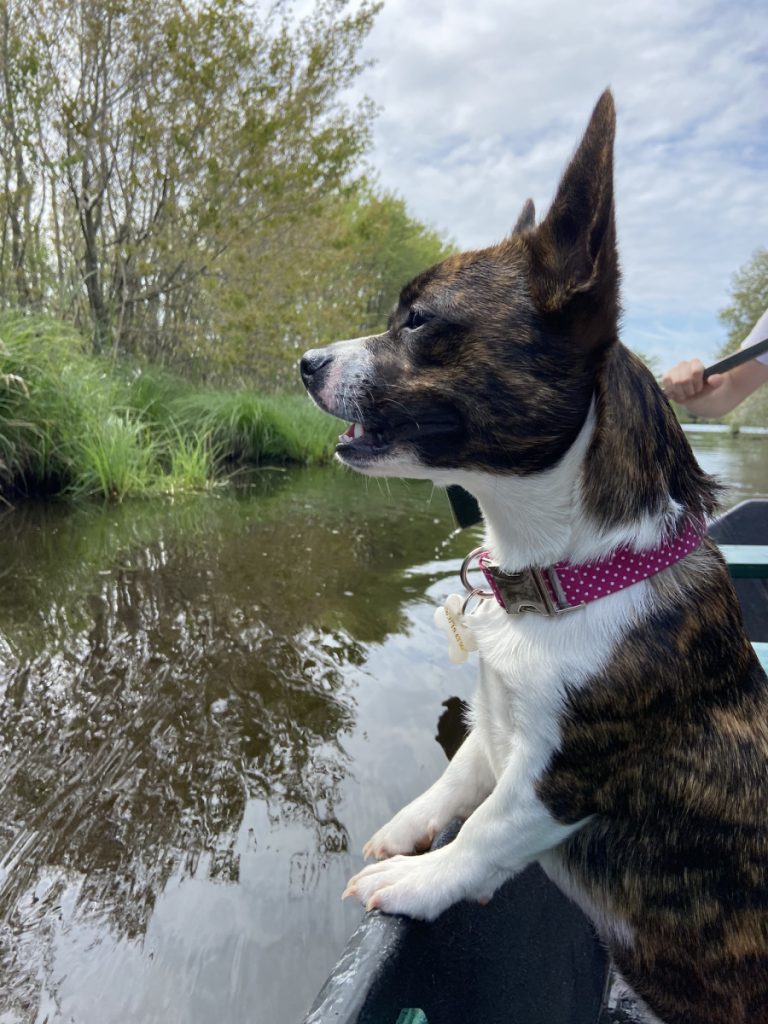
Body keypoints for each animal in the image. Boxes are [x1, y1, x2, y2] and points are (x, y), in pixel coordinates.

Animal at [299, 92, 768, 1019]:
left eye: (419, 320)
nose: (305, 361)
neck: (568, 573)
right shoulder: (497, 722)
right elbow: (457, 780)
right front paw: (406, 832)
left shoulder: (557, 776)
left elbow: (487, 830)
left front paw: (420, 880)